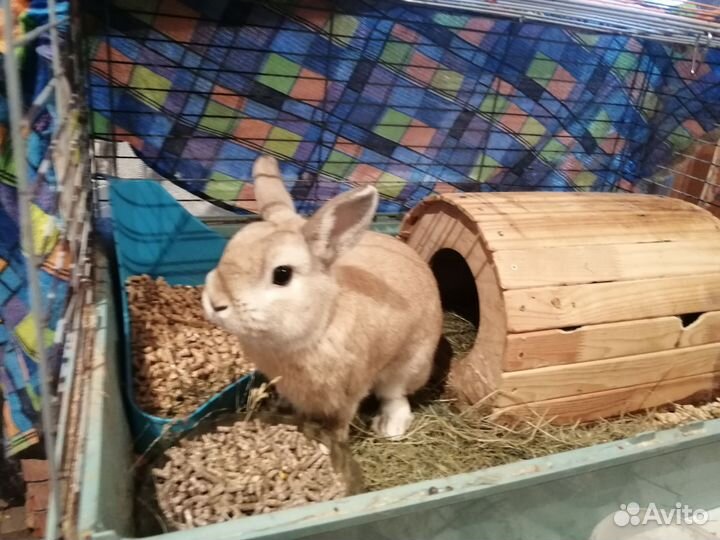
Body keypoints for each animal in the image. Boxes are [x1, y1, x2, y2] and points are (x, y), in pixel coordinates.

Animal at [202, 155, 443, 442]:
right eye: (229, 250)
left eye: (282, 274)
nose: (215, 303)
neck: (322, 321)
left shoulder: (348, 392)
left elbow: (340, 422)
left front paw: (334, 440)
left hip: (408, 365)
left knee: (395, 396)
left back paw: (390, 427)